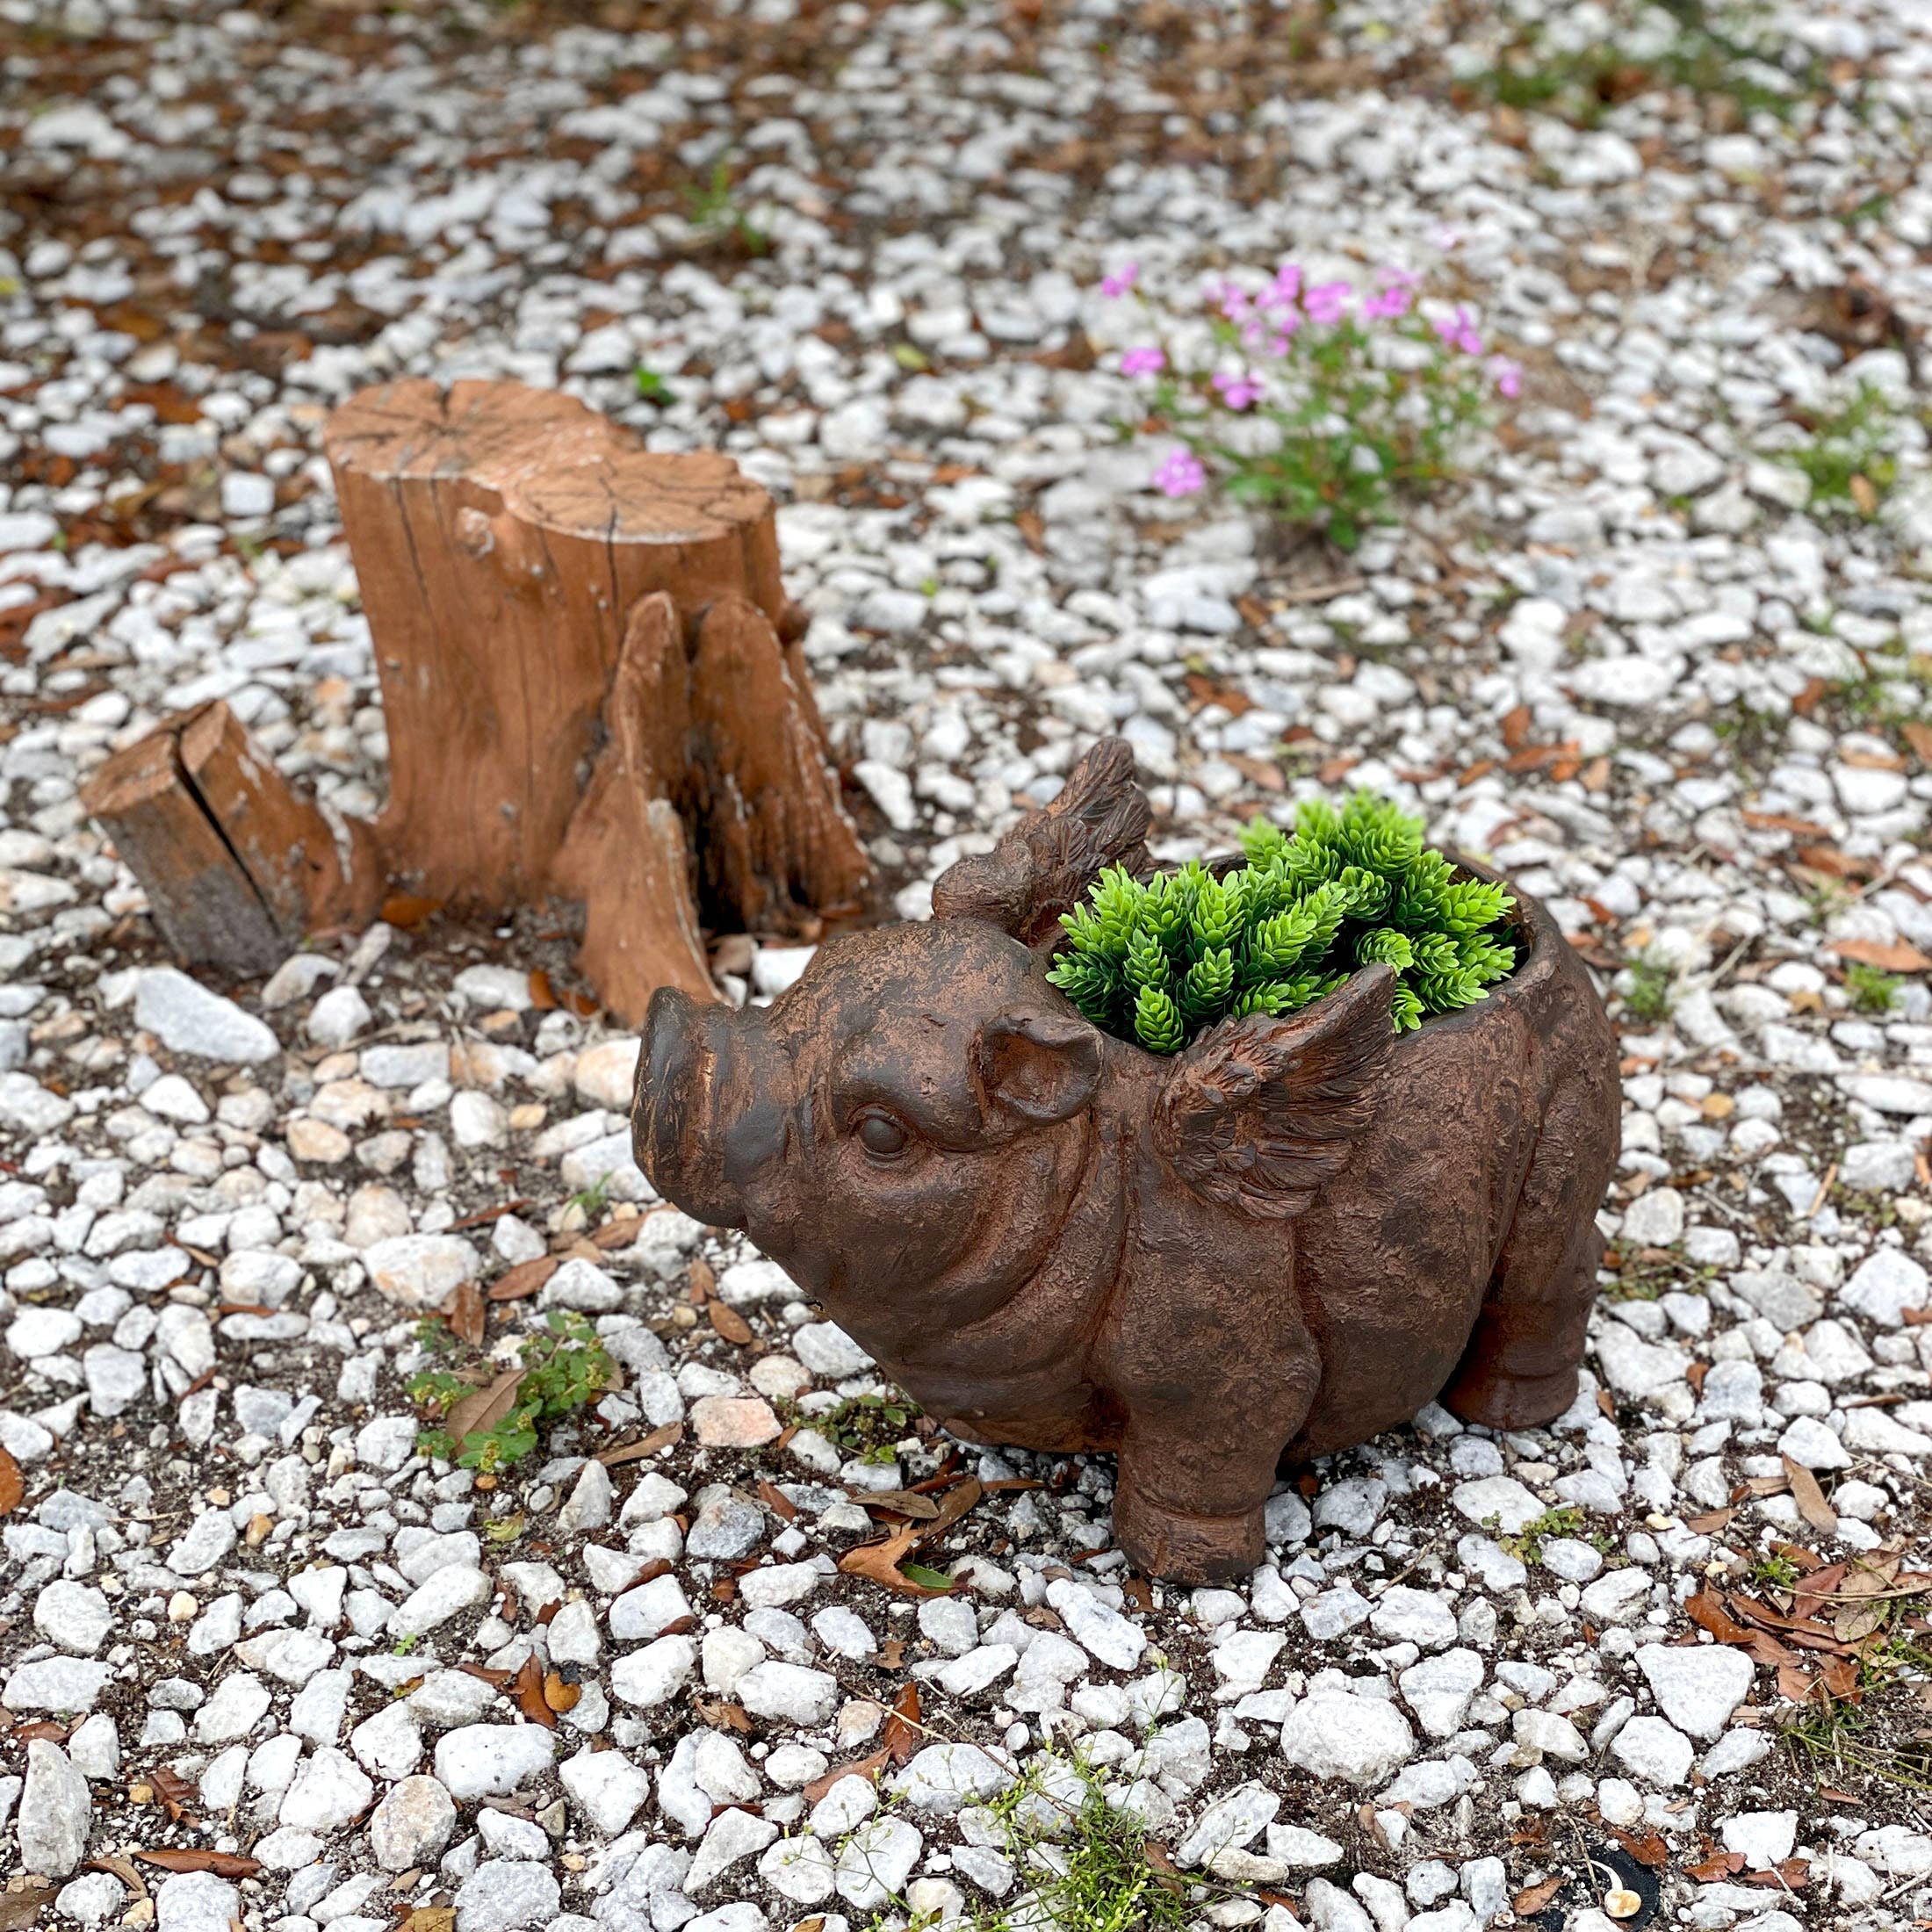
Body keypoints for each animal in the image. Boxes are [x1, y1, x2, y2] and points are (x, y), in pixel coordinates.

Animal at [635, 738, 1620, 1583]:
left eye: (883, 1133)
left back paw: (1512, 1413)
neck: (1084, 1195)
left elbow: (1208, 1456)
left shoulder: (1226, 1370)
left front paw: (1181, 1570)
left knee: (1552, 1284)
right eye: (797, 993)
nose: (666, 1040)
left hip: (1569, 1157)